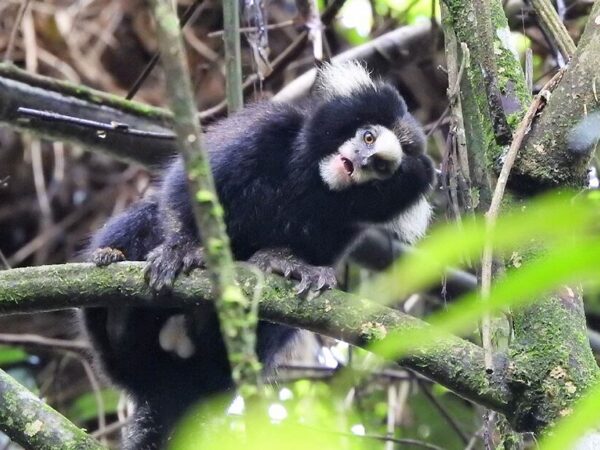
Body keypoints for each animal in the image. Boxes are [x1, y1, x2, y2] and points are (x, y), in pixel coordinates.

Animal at [81, 61, 436, 448]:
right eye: (368, 137)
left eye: (383, 168)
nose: (363, 159)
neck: (310, 180)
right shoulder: (266, 128)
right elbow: (186, 189)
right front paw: (180, 249)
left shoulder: (348, 225)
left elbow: (310, 262)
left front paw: (288, 264)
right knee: (144, 215)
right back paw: (113, 279)